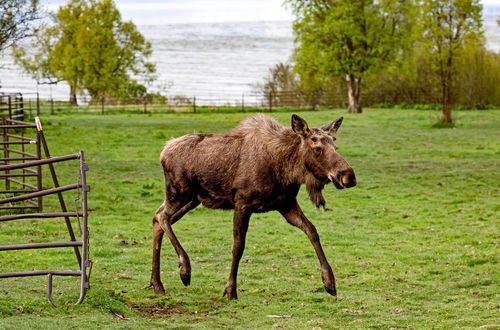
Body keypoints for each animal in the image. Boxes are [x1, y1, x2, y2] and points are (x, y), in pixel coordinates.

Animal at [148, 114, 356, 300]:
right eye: (317, 147)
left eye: (335, 145)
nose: (349, 176)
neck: (288, 171)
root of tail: (163, 152)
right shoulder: (242, 203)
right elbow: (238, 246)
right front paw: (230, 290)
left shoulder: (286, 204)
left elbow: (312, 231)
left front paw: (329, 283)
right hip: (179, 192)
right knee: (162, 217)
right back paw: (184, 270)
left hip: (192, 199)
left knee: (157, 218)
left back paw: (157, 284)